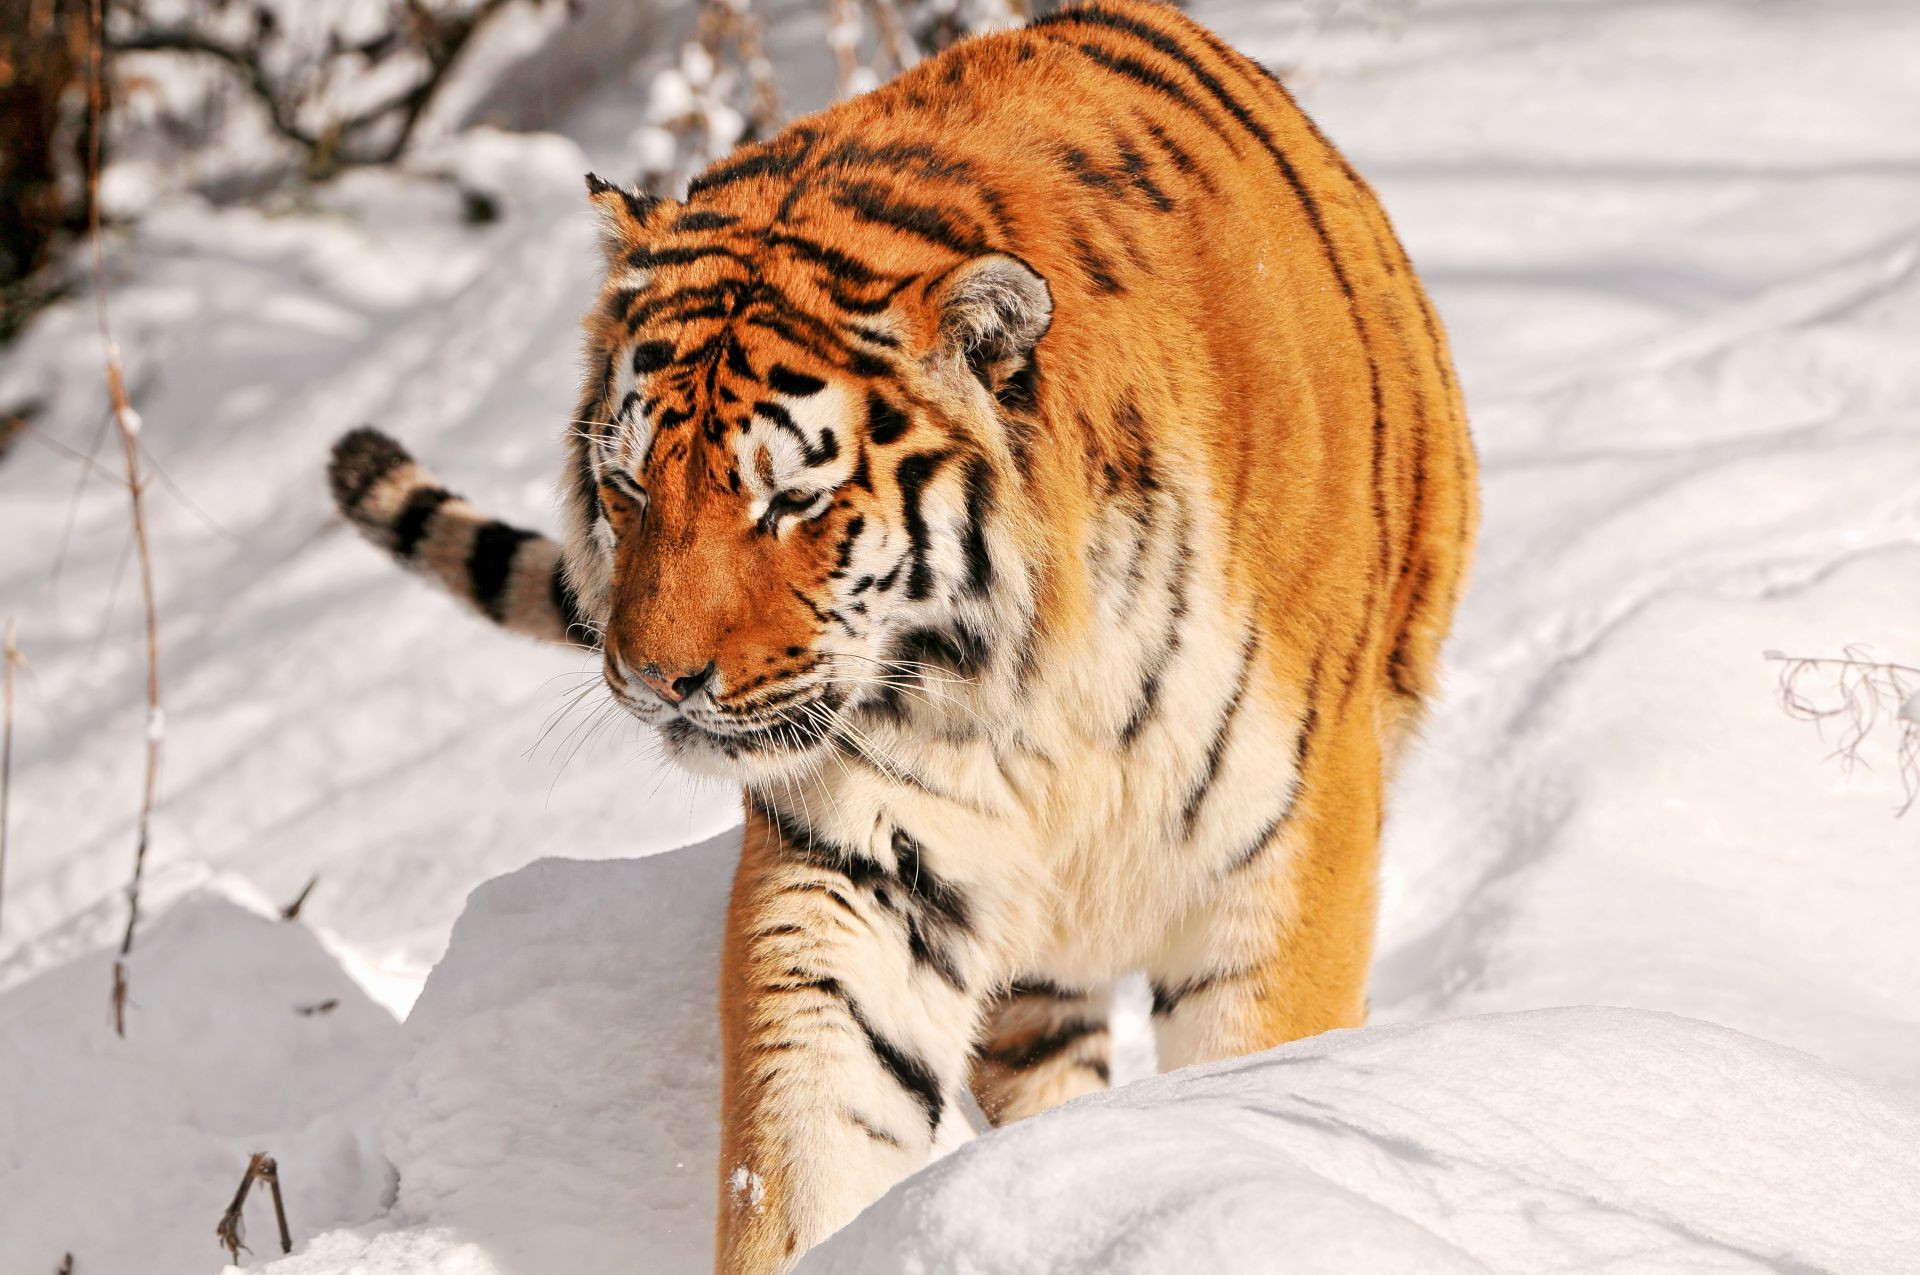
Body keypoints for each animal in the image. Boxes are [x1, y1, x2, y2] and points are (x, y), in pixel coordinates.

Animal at [326, 4, 1466, 1267]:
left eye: (791, 502)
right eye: (626, 488)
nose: (656, 681)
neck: (1040, 678)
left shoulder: (1285, 859)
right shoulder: (864, 862)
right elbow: (811, 1130)